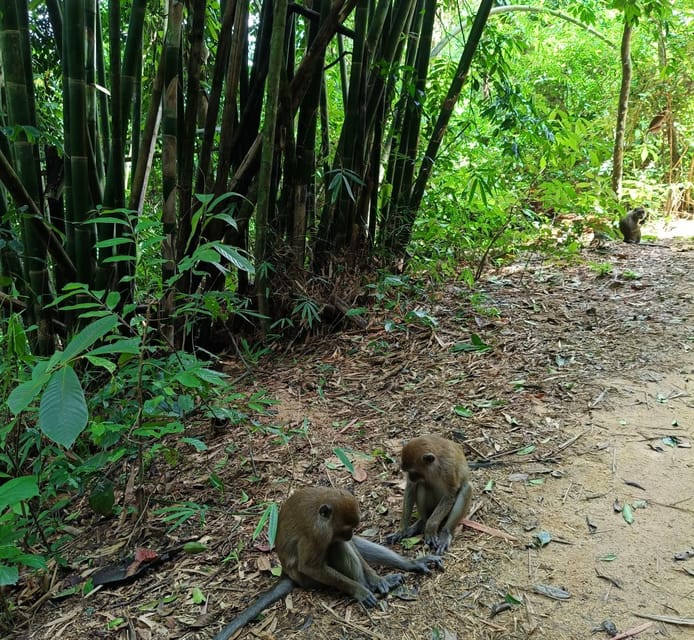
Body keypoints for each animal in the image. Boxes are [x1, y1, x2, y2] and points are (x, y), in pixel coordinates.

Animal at [213, 484, 440, 640]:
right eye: (346, 527)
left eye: (353, 527)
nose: (350, 534)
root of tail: (286, 572)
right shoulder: (318, 533)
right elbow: (310, 565)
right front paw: (360, 590)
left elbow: (351, 546)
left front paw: (377, 580)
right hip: (306, 579)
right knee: (336, 547)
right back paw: (366, 588)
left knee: (347, 546)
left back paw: (404, 568)